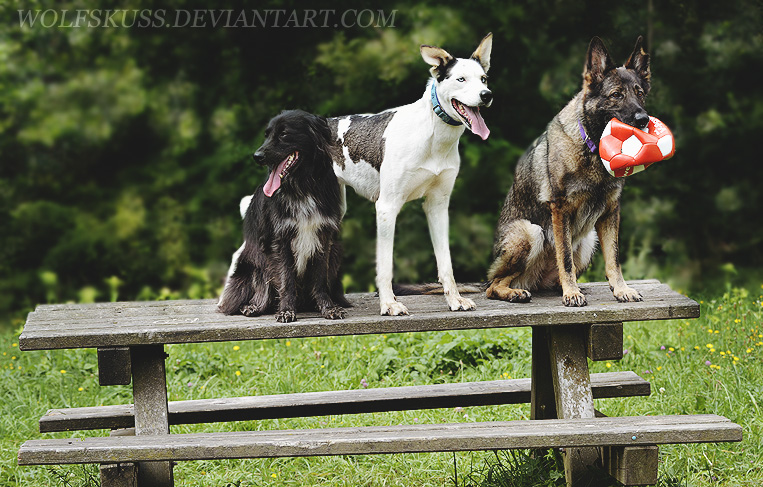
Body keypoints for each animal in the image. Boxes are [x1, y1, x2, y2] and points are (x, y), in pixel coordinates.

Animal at [218, 111, 350, 324]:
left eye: (284, 134)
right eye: (267, 135)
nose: (257, 157)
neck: (303, 185)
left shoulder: (324, 236)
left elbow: (320, 278)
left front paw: (328, 307)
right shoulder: (279, 240)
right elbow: (286, 279)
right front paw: (287, 310)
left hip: (337, 250)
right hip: (251, 264)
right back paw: (253, 307)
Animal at [330, 34, 496, 316]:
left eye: (483, 78)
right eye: (461, 79)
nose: (487, 95)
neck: (432, 136)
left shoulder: (437, 206)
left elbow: (446, 264)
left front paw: (455, 300)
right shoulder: (386, 208)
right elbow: (385, 267)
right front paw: (389, 304)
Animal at [490, 36, 652, 306]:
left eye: (639, 94)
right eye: (616, 95)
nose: (643, 119)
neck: (593, 151)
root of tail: (533, 281)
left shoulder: (611, 211)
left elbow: (614, 258)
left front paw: (621, 289)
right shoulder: (560, 210)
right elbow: (564, 257)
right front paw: (572, 293)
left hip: (588, 240)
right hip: (530, 232)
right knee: (492, 285)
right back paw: (514, 292)